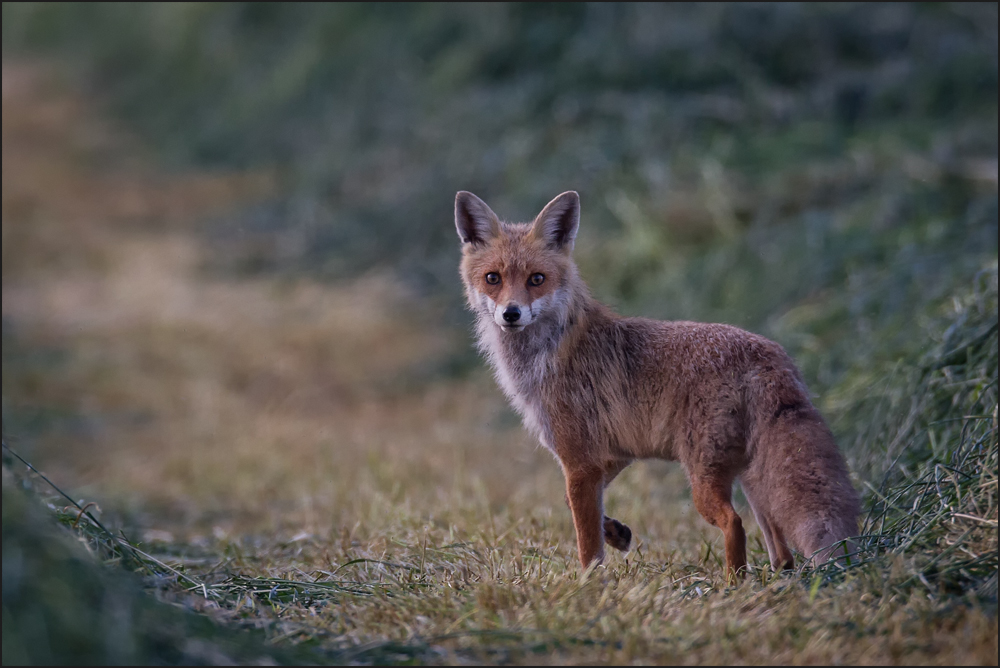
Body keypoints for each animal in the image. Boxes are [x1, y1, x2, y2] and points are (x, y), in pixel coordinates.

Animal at [454, 190, 860, 576]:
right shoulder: (611, 455)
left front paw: (590, 586)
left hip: (703, 477)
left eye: (536, 279)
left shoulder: (580, 461)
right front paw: (617, 533)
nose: (511, 314)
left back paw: (733, 583)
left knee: (734, 523)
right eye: (493, 278)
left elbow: (587, 545)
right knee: (780, 547)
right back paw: (776, 580)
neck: (550, 351)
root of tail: (770, 354)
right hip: (752, 480)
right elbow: (573, 504)